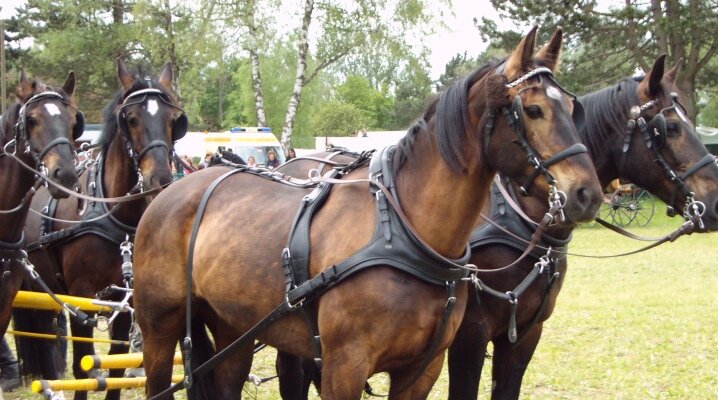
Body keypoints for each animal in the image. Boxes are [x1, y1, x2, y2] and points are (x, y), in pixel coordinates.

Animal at [15, 57, 188, 400]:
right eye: (130, 119)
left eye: (173, 119)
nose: (161, 180)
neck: (116, 216)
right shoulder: (82, 295)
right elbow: (84, 363)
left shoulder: (127, 300)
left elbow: (118, 364)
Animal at [134, 26, 600, 398]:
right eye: (533, 110)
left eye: (572, 109)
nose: (588, 193)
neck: (405, 232)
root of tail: (169, 192)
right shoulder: (345, 367)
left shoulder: (421, 370)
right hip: (158, 329)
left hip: (233, 328)